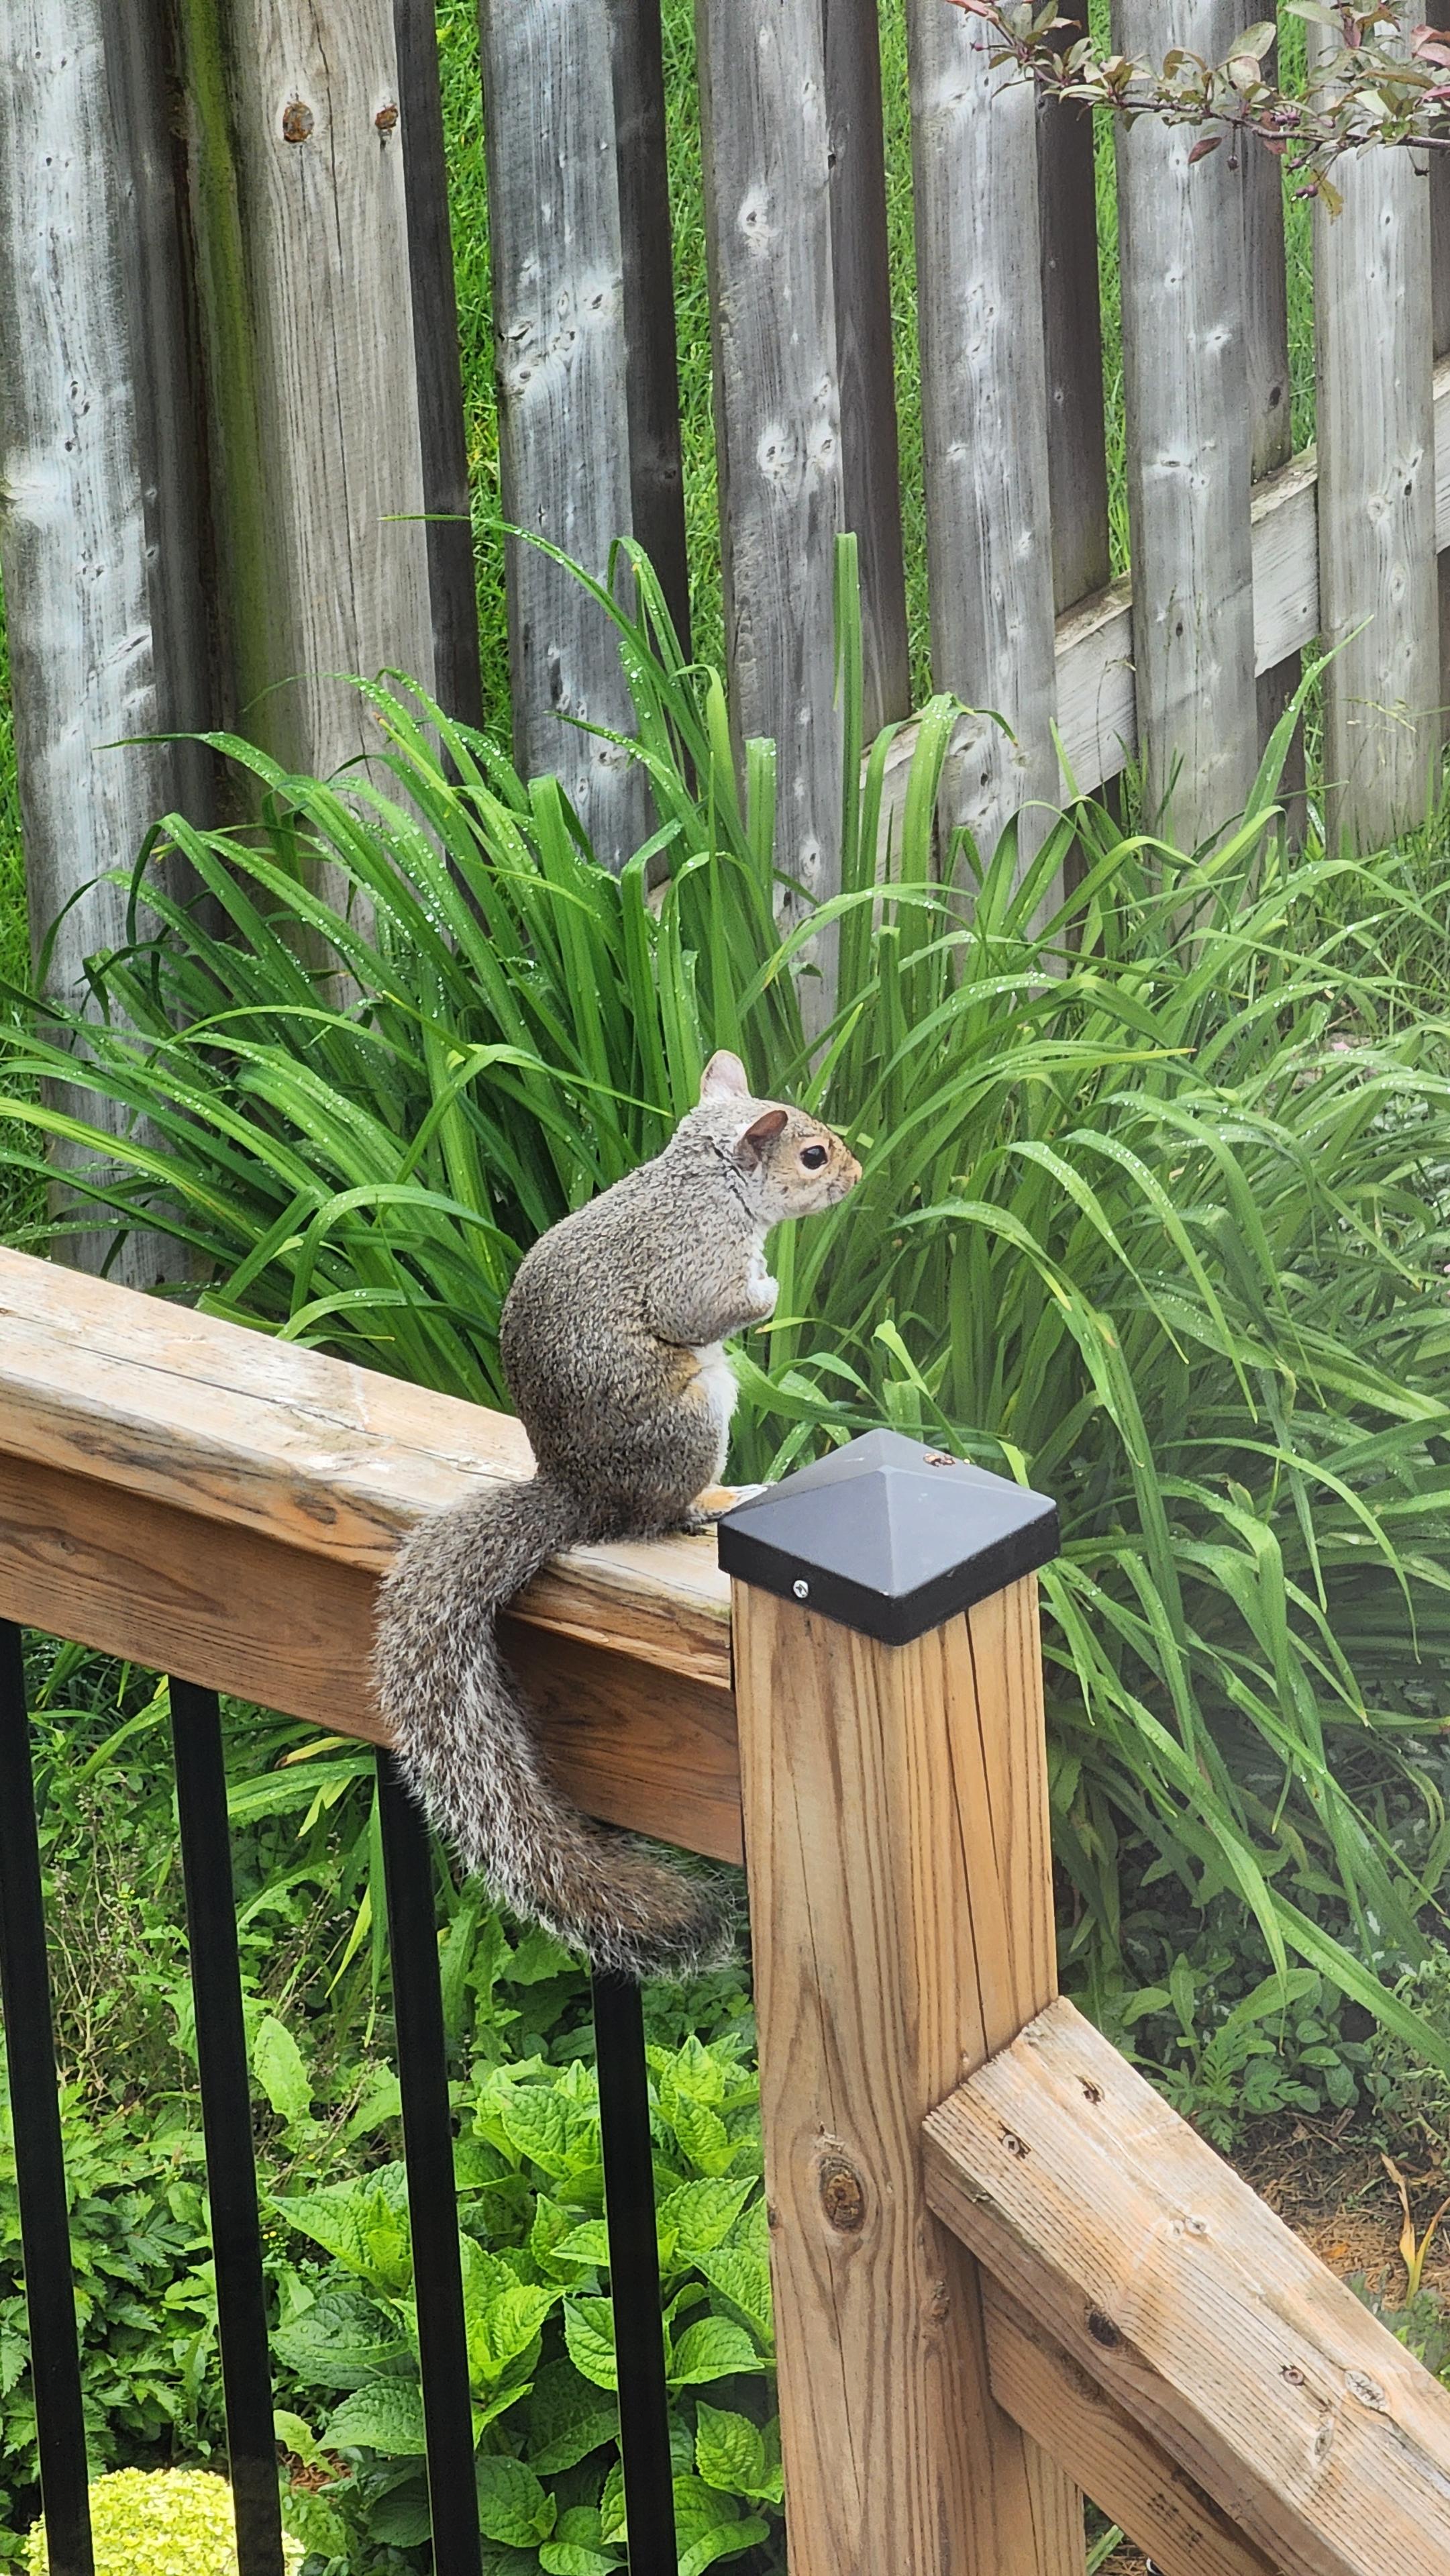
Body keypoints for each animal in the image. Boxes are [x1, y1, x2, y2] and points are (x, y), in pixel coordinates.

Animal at [374, 1050, 861, 1981]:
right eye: (813, 1155)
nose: (858, 1173)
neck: (707, 1183)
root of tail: (579, 1494)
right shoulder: (693, 1264)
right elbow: (709, 1307)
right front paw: (769, 1288)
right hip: (695, 1416)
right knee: (663, 1515)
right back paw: (720, 1500)